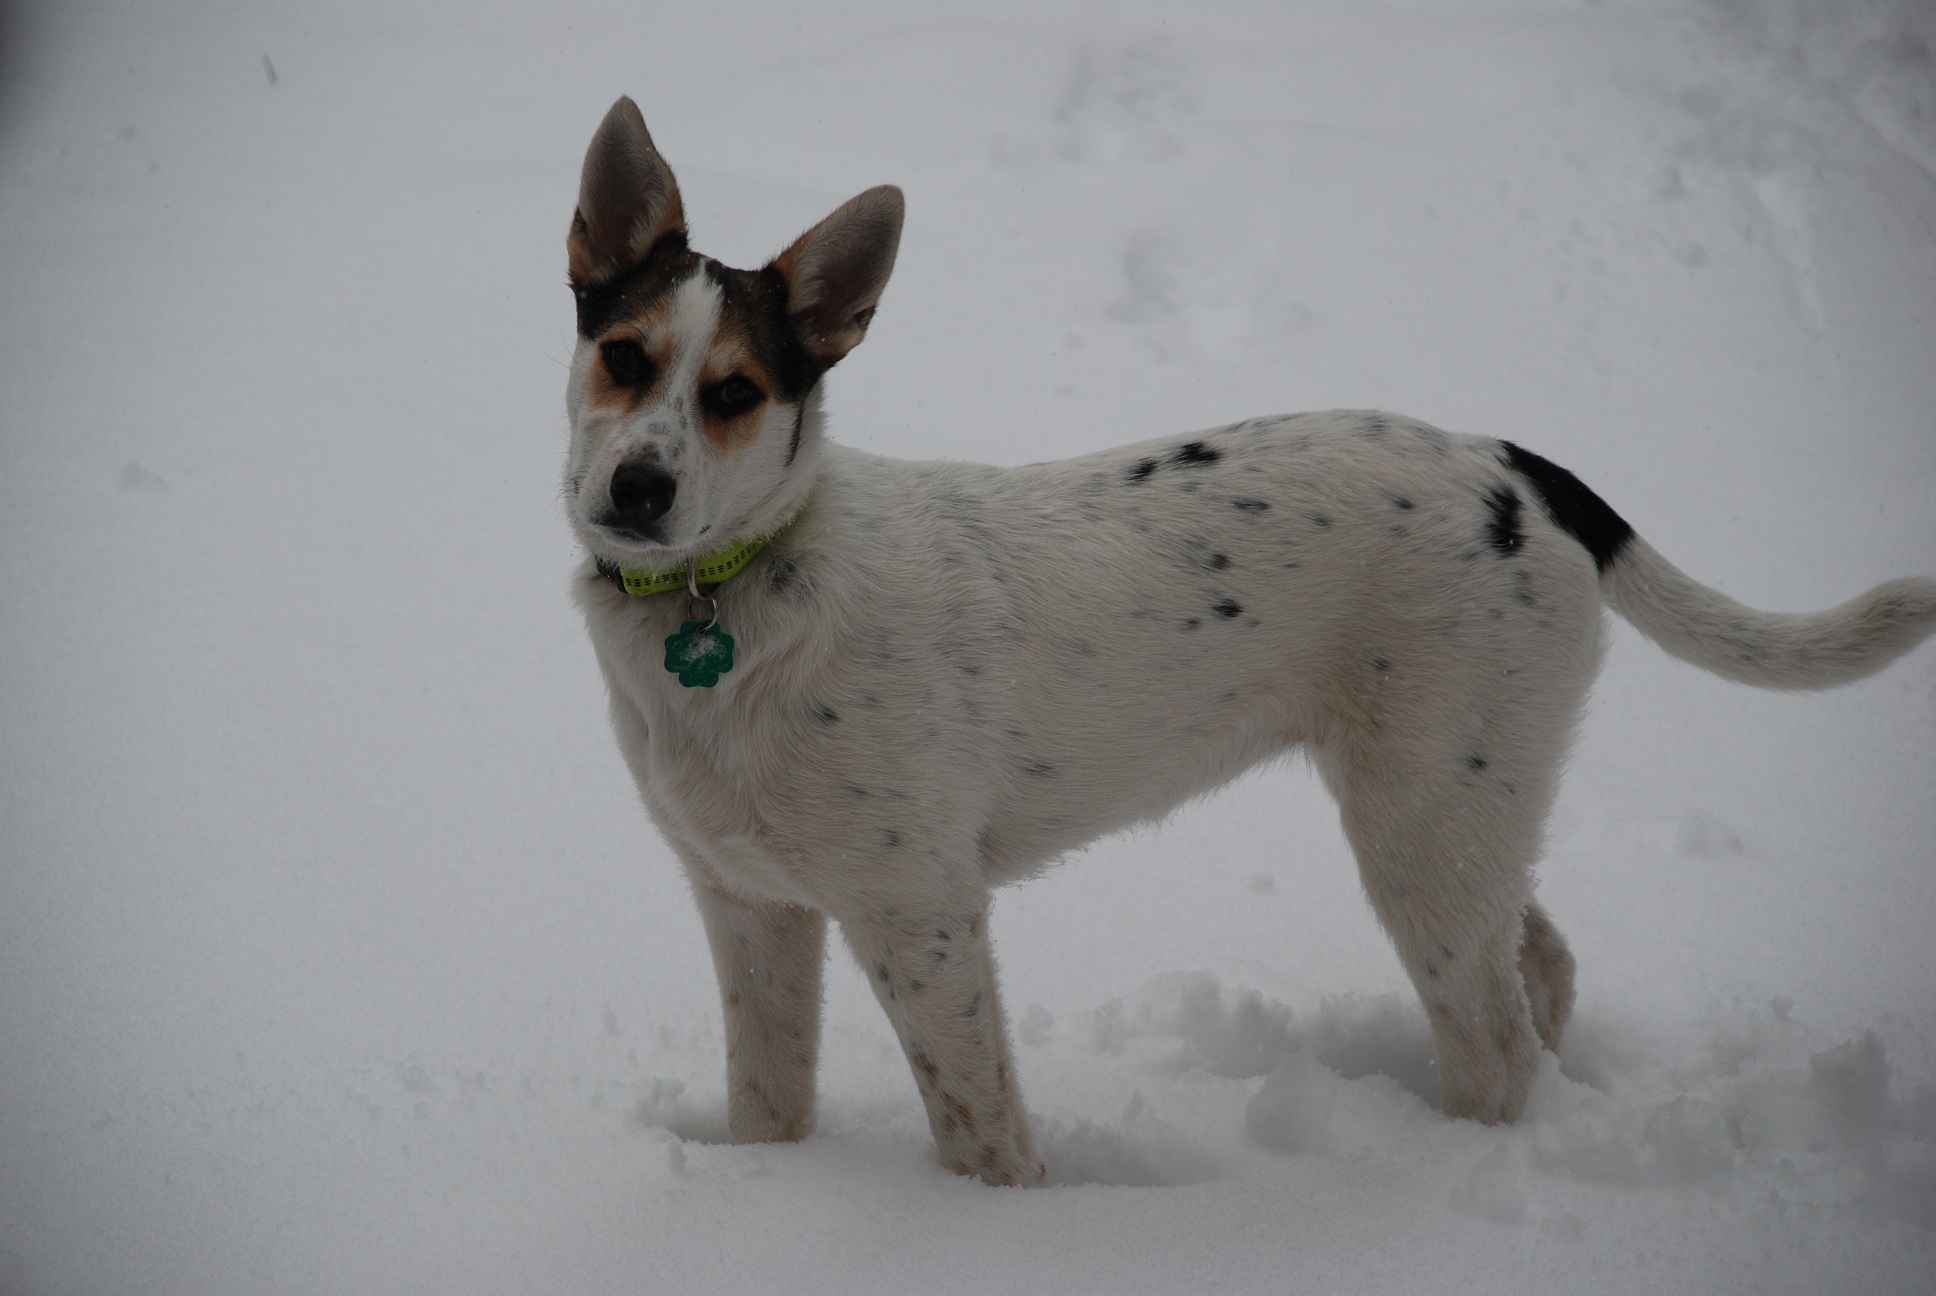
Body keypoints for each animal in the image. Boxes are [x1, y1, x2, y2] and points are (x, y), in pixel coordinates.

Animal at [557, 98, 1936, 1185]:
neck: (735, 593)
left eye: (735, 393)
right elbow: (766, 1102)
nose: (635, 490)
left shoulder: (920, 914)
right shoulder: (748, 904)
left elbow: (980, 1130)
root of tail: (1521, 471)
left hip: (1420, 826)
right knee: (1539, 957)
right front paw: (766, 1200)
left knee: (1491, 1036)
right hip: (1469, 805)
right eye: (621, 356)